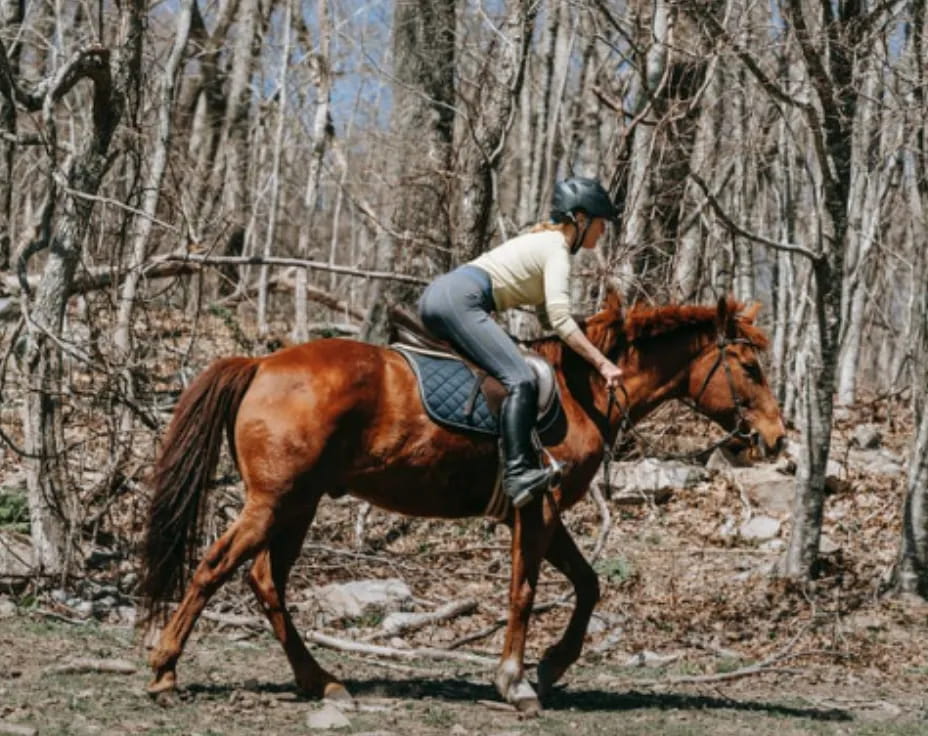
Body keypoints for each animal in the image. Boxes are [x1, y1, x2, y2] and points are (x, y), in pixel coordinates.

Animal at [140, 292, 785, 714]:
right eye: (750, 368)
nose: (778, 439)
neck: (581, 392)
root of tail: (260, 363)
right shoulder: (537, 510)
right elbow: (524, 592)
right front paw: (516, 682)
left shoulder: (546, 513)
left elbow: (588, 584)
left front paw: (551, 666)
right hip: (275, 502)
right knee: (215, 567)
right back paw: (165, 671)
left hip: (299, 504)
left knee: (265, 580)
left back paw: (320, 681)